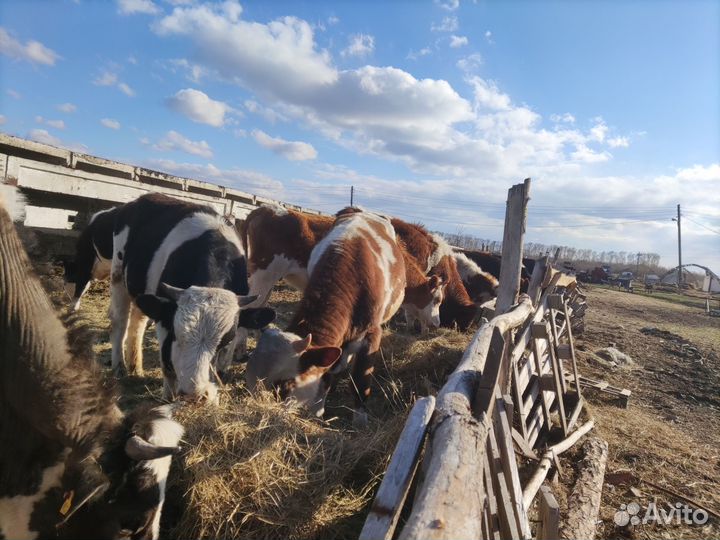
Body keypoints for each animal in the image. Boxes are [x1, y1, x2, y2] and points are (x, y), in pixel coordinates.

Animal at [109, 193, 275, 404]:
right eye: (177, 334)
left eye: (225, 341)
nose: (195, 395)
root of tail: (144, 197)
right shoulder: (165, 319)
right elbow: (167, 364)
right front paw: (168, 398)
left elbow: (222, 367)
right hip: (118, 274)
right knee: (120, 321)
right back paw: (120, 367)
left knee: (138, 321)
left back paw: (135, 366)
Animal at [246, 208, 406, 427]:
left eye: (285, 385)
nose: (263, 413)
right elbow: (327, 371)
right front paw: (318, 410)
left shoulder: (372, 333)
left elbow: (360, 379)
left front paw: (359, 421)